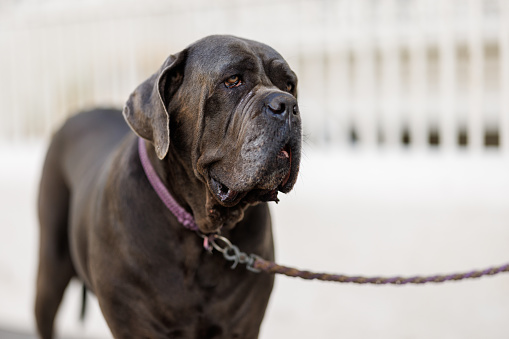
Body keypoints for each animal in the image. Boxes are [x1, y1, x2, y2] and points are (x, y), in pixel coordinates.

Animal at [35, 35, 302, 339]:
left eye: (289, 85)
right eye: (233, 80)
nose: (287, 105)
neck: (201, 228)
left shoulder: (243, 325)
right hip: (51, 268)